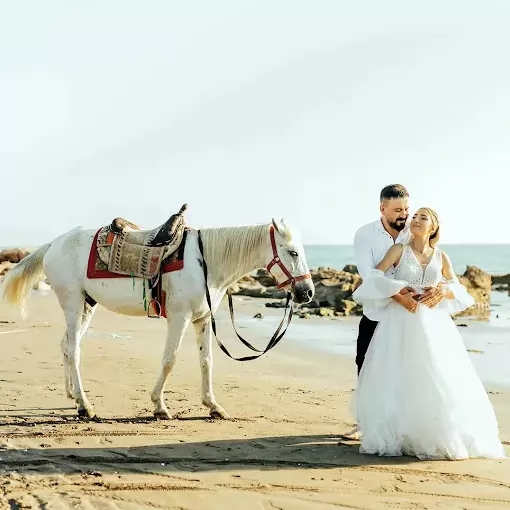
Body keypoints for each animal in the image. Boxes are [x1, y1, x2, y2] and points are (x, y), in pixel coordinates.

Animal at [0, 215, 314, 418]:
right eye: (292, 252)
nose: (308, 292)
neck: (206, 261)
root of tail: (53, 244)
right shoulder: (179, 317)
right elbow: (169, 360)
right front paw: (160, 406)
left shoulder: (202, 320)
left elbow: (207, 362)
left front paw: (213, 406)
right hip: (73, 303)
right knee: (74, 349)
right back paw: (85, 406)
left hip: (87, 305)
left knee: (66, 345)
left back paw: (71, 396)